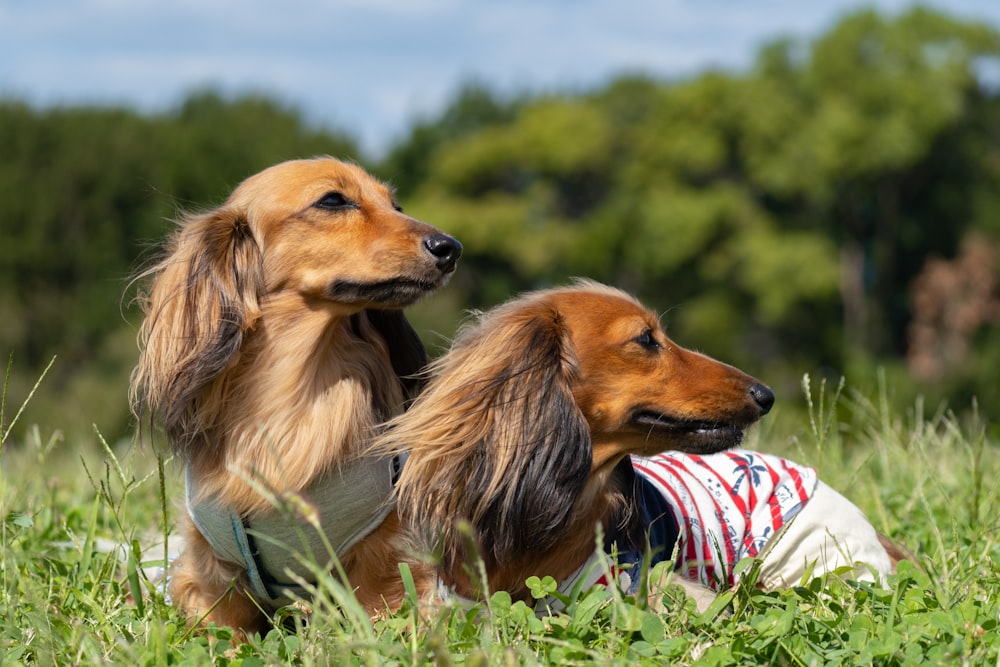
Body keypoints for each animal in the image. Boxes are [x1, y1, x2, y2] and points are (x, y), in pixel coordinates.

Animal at [131, 157, 462, 636]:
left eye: (395, 204)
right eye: (333, 200)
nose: (451, 248)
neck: (295, 398)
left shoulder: (385, 556)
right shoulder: (212, 574)